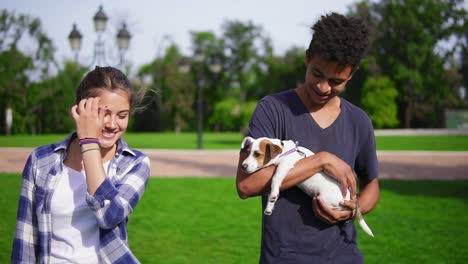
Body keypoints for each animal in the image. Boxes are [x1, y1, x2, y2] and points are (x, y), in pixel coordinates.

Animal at [241, 136, 372, 237]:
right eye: (247, 153)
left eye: (257, 154)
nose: (242, 166)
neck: (283, 150)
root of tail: (351, 198)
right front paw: (270, 205)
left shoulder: (285, 165)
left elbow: (275, 178)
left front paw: (273, 195)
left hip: (327, 199)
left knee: (341, 208)